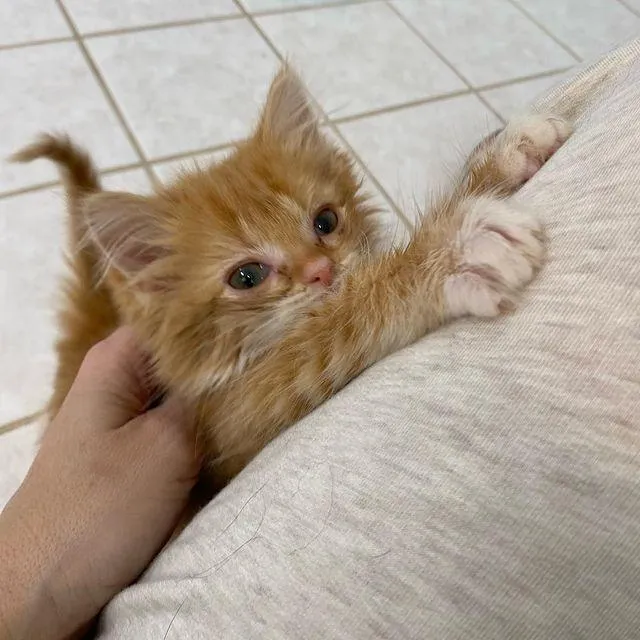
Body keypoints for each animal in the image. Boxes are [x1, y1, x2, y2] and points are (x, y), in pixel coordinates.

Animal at [11, 66, 568, 484]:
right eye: (246, 276)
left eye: (325, 221)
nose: (322, 271)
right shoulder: (237, 420)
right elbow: (335, 326)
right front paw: (451, 250)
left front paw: (502, 154)